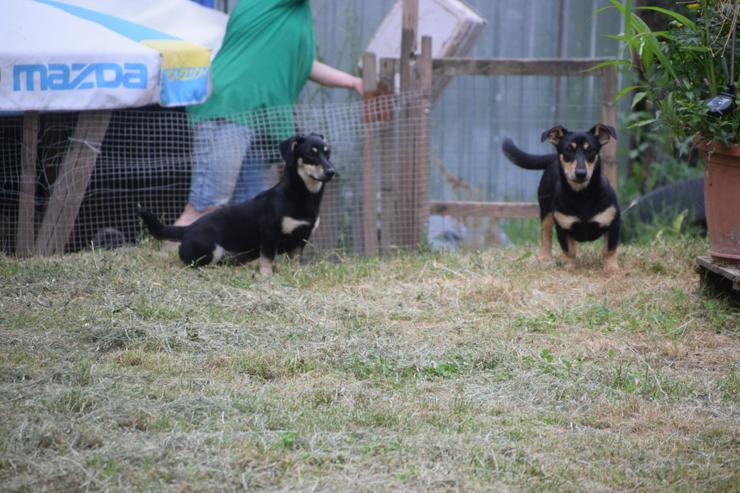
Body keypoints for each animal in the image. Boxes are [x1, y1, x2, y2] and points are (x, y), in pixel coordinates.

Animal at [137, 133, 334, 274]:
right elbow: (267, 258)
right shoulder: (269, 232)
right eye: (309, 154)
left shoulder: (302, 238)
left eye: (327, 153)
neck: (303, 194)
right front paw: (266, 276)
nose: (331, 171)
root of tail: (187, 229)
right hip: (212, 250)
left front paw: (297, 274)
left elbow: (295, 261)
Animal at [502, 122, 620, 270]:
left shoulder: (613, 223)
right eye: (568, 150)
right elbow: (568, 250)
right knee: (546, 233)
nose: (581, 173)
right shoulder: (562, 226)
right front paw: (569, 267)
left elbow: (609, 249)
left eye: (591, 150)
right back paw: (545, 257)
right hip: (545, 209)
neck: (583, 196)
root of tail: (553, 157)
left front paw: (611, 268)